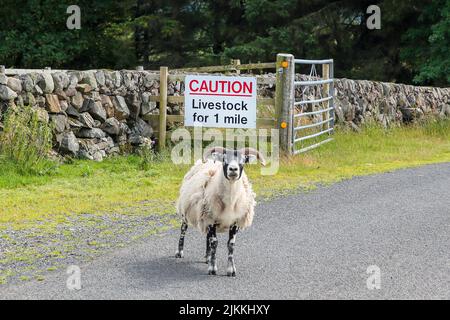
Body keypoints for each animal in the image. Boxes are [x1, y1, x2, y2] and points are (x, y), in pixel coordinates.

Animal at [175, 147, 268, 276]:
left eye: (243, 160)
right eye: (224, 159)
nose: (233, 169)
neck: (230, 201)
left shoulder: (234, 222)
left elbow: (230, 244)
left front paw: (231, 270)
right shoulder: (211, 220)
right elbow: (215, 243)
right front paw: (212, 268)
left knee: (207, 237)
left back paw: (207, 257)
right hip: (188, 212)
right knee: (183, 230)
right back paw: (180, 252)